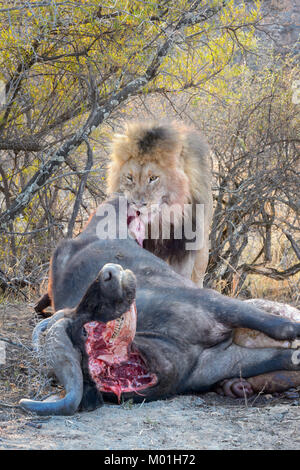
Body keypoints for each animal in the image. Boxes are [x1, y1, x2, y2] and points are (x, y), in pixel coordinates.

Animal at [19, 198, 300, 414]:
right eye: (84, 331)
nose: (110, 271)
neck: (173, 344)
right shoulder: (228, 360)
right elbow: (286, 356)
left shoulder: (218, 303)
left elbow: (281, 327)